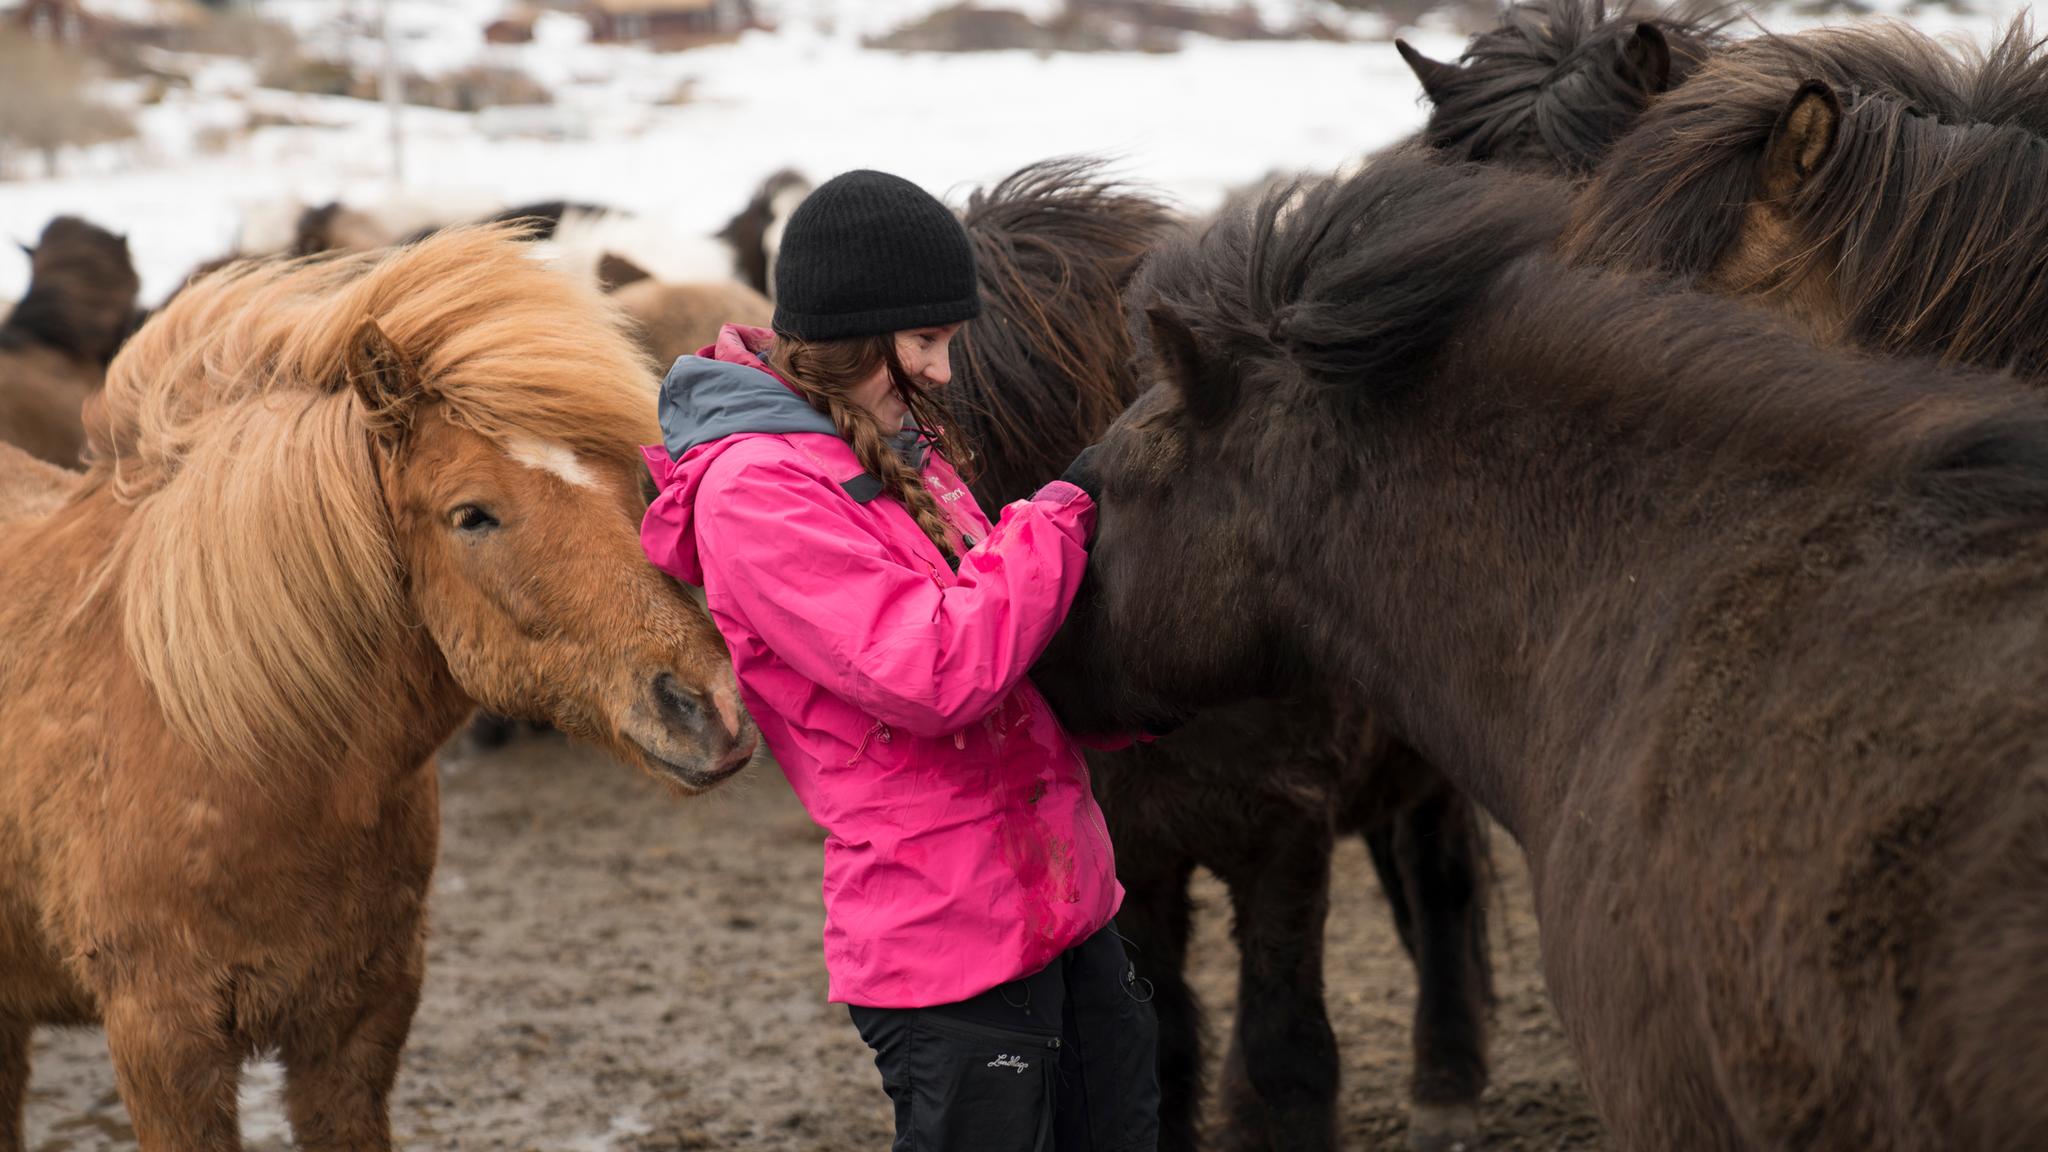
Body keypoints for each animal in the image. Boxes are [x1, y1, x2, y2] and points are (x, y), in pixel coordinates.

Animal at [949, 157, 1493, 1152]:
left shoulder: (1283, 835)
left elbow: (1284, 1051)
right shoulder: (1134, 855)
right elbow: (1159, 1046)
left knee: (1441, 885)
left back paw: (1445, 1081)